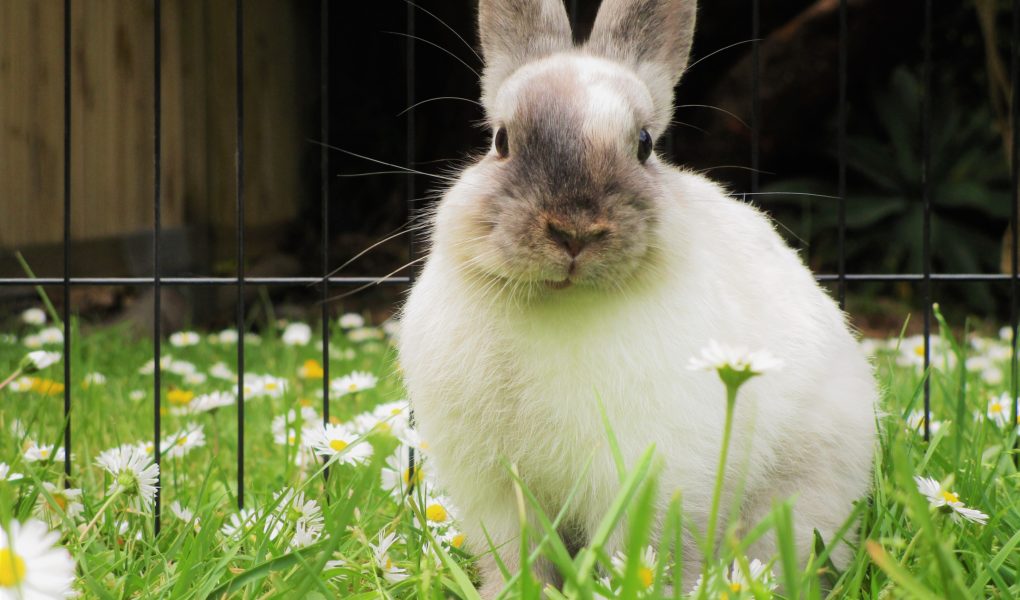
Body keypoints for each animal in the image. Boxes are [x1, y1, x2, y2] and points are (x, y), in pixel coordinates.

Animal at [397, 0, 877, 591]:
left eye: (645, 145)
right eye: (501, 141)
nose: (574, 231)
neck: (561, 303)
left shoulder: (650, 475)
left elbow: (648, 549)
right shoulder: (497, 491)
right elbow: (517, 554)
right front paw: (509, 592)